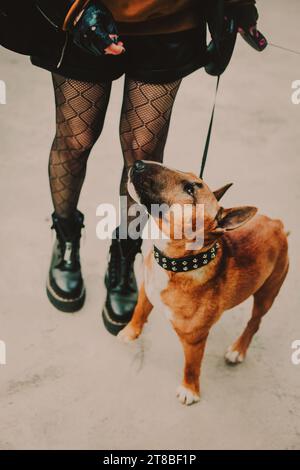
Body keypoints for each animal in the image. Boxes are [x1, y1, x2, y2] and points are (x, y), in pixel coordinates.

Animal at [118, 161, 290, 404]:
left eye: (190, 190)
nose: (139, 164)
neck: (177, 265)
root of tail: (277, 224)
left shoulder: (195, 340)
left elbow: (192, 366)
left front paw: (190, 390)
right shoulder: (146, 289)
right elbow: (139, 311)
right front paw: (130, 332)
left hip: (267, 293)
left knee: (254, 322)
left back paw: (238, 349)